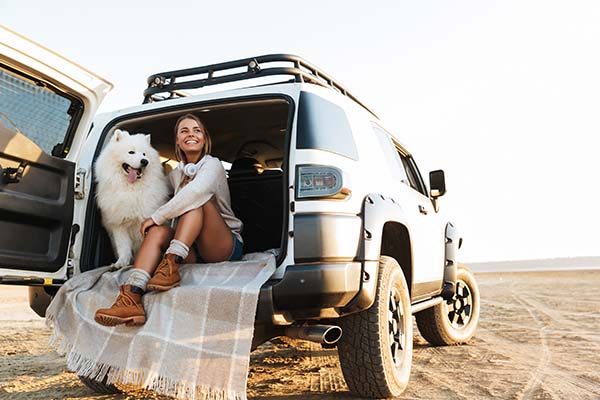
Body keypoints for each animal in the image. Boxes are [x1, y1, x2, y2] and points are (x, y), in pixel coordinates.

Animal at [94, 130, 169, 268]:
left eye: (144, 154)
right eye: (131, 152)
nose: (145, 161)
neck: (132, 189)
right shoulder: (119, 225)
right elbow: (123, 248)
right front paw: (121, 263)